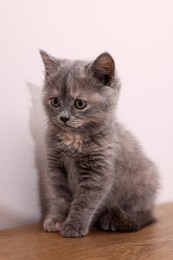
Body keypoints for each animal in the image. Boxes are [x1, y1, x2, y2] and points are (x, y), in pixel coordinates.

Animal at [39, 49, 159, 238]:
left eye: (80, 103)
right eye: (55, 101)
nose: (64, 117)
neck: (73, 139)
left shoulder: (98, 172)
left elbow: (84, 201)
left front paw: (73, 226)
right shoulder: (55, 168)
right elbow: (59, 197)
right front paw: (57, 220)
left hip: (146, 180)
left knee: (141, 213)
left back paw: (111, 219)